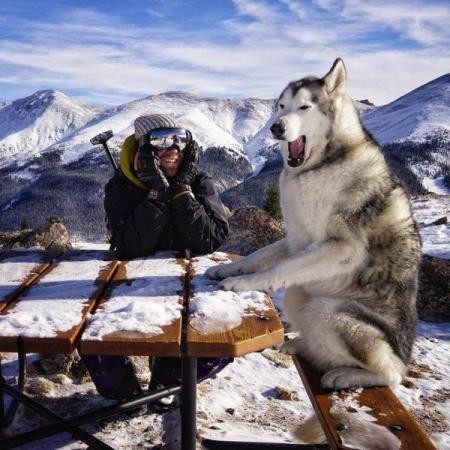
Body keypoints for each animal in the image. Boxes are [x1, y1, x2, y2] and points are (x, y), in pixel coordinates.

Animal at [207, 59, 422, 390]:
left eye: (305, 107)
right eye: (281, 106)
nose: (277, 127)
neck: (319, 166)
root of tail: (404, 355)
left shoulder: (341, 247)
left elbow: (278, 268)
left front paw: (244, 283)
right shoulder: (296, 239)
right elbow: (259, 256)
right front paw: (228, 269)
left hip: (329, 311)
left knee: (391, 374)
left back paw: (345, 375)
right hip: (299, 297)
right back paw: (301, 346)